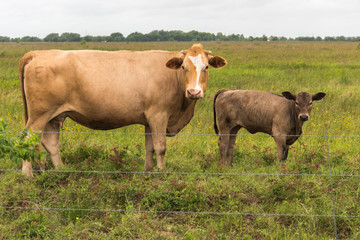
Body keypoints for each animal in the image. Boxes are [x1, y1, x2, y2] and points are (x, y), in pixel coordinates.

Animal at [19, 44, 226, 175]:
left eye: (206, 67)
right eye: (183, 67)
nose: (194, 91)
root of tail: (38, 53)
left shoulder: (149, 119)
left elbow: (149, 147)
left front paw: (148, 171)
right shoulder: (159, 115)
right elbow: (160, 147)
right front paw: (162, 172)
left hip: (53, 116)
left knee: (51, 143)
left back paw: (62, 171)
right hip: (39, 115)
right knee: (28, 140)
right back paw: (27, 175)